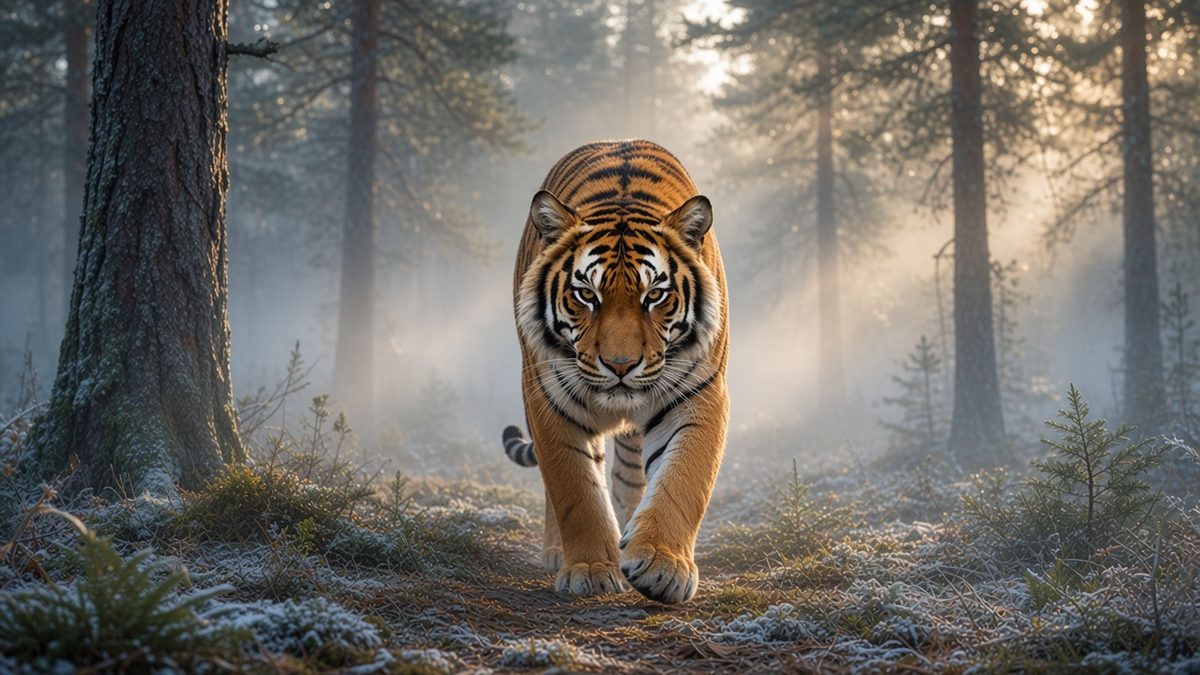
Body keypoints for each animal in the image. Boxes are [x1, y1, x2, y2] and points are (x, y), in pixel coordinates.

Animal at [501, 139, 729, 604]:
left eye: (654, 295)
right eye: (586, 295)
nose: (620, 365)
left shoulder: (700, 396)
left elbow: (684, 480)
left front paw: (662, 564)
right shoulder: (548, 399)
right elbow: (574, 490)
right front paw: (590, 569)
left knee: (629, 474)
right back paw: (559, 552)